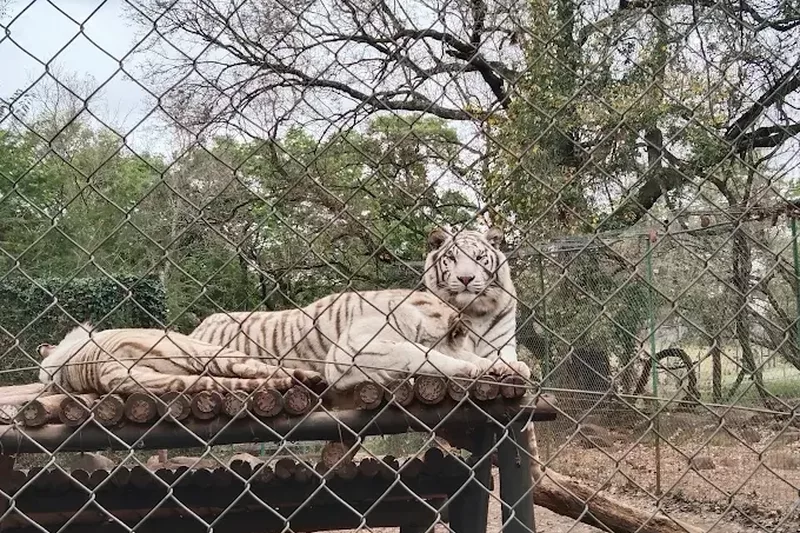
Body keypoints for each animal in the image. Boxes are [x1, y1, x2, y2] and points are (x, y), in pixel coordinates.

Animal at [190, 227, 531, 391]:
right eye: (452, 259)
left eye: (479, 258)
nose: (465, 278)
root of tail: (198, 326)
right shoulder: (352, 350)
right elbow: (416, 353)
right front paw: (470, 369)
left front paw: (500, 367)